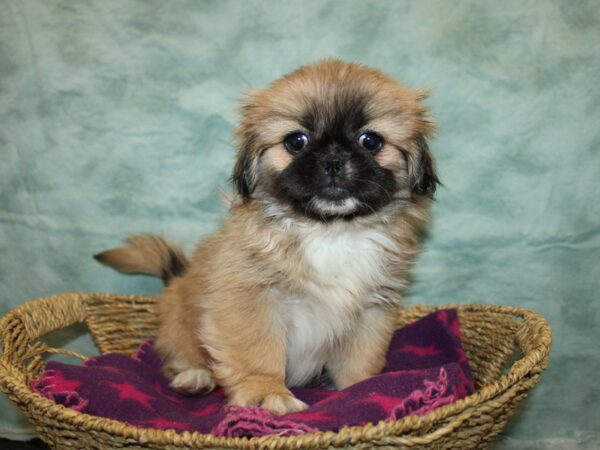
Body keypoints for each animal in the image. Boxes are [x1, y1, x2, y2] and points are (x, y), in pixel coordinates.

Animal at [96, 59, 438, 414]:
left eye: (370, 141)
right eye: (296, 141)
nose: (333, 160)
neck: (329, 232)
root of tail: (176, 279)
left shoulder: (372, 309)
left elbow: (361, 360)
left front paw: (364, 389)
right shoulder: (250, 299)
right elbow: (258, 352)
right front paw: (266, 393)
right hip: (181, 326)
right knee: (181, 358)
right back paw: (194, 377)